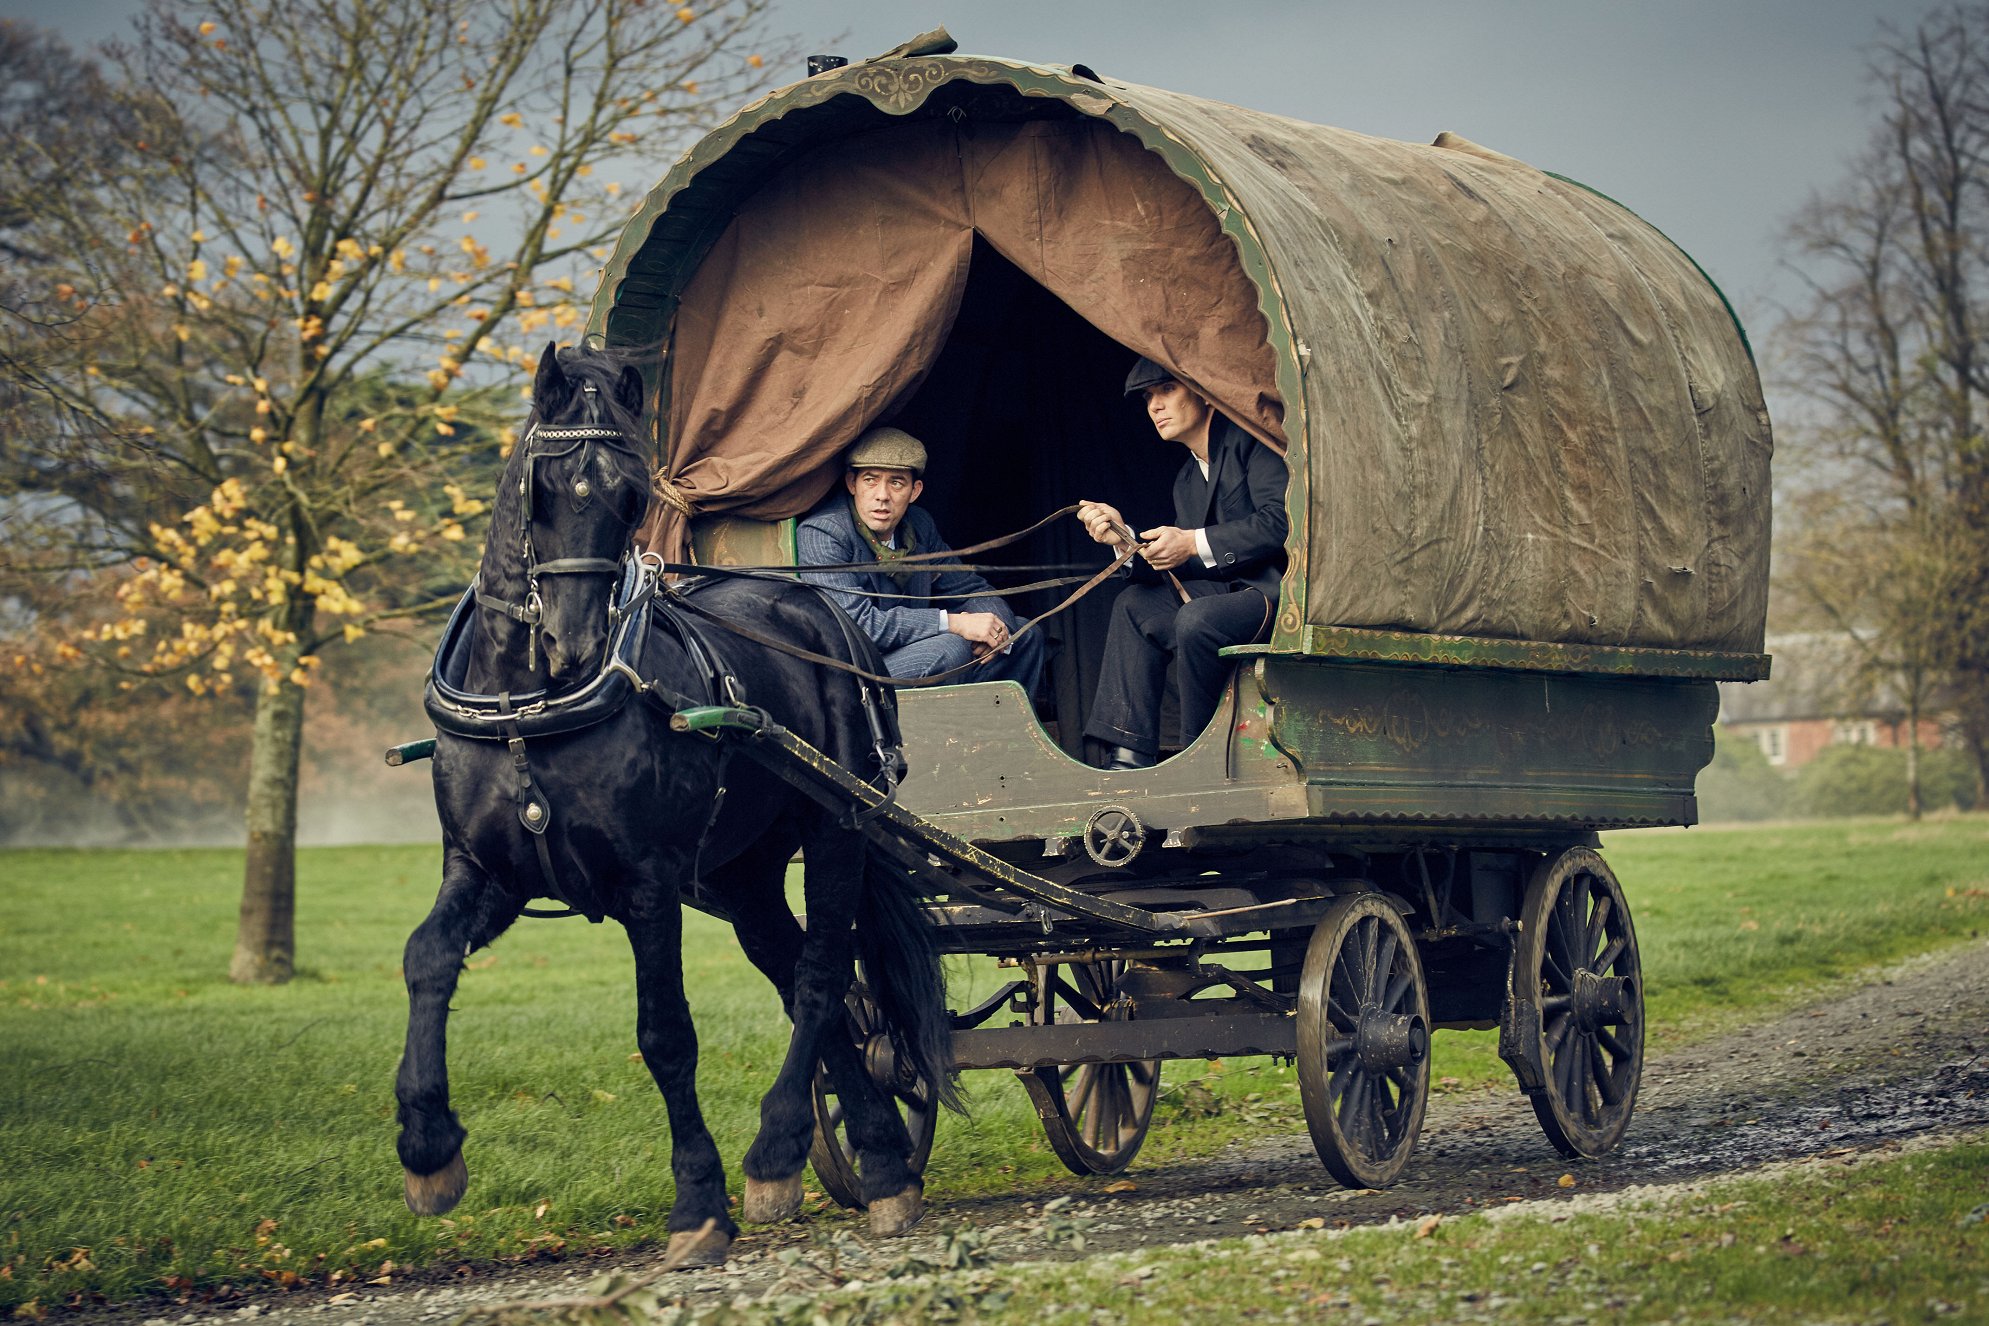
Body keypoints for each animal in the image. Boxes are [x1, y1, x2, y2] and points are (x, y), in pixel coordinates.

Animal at [395, 341, 954, 1264]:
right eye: (544, 486)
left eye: (632, 495)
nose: (575, 643)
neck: (527, 711)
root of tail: (821, 605)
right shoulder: (484, 870)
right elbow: (427, 958)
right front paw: (426, 1145)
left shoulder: (648, 885)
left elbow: (665, 1035)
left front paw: (697, 1200)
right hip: (741, 874)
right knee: (807, 978)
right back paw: (859, 1157)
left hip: (836, 832)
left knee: (820, 976)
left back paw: (800, 1155)